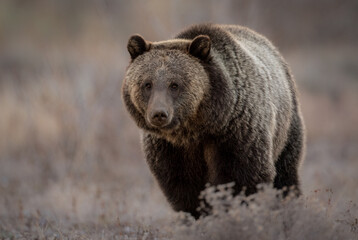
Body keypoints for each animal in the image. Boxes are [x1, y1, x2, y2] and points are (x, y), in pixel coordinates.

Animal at [121, 23, 304, 218]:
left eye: (174, 84)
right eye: (147, 84)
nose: (159, 114)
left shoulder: (236, 133)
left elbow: (243, 178)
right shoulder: (170, 150)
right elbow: (183, 189)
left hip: (287, 127)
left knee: (286, 174)